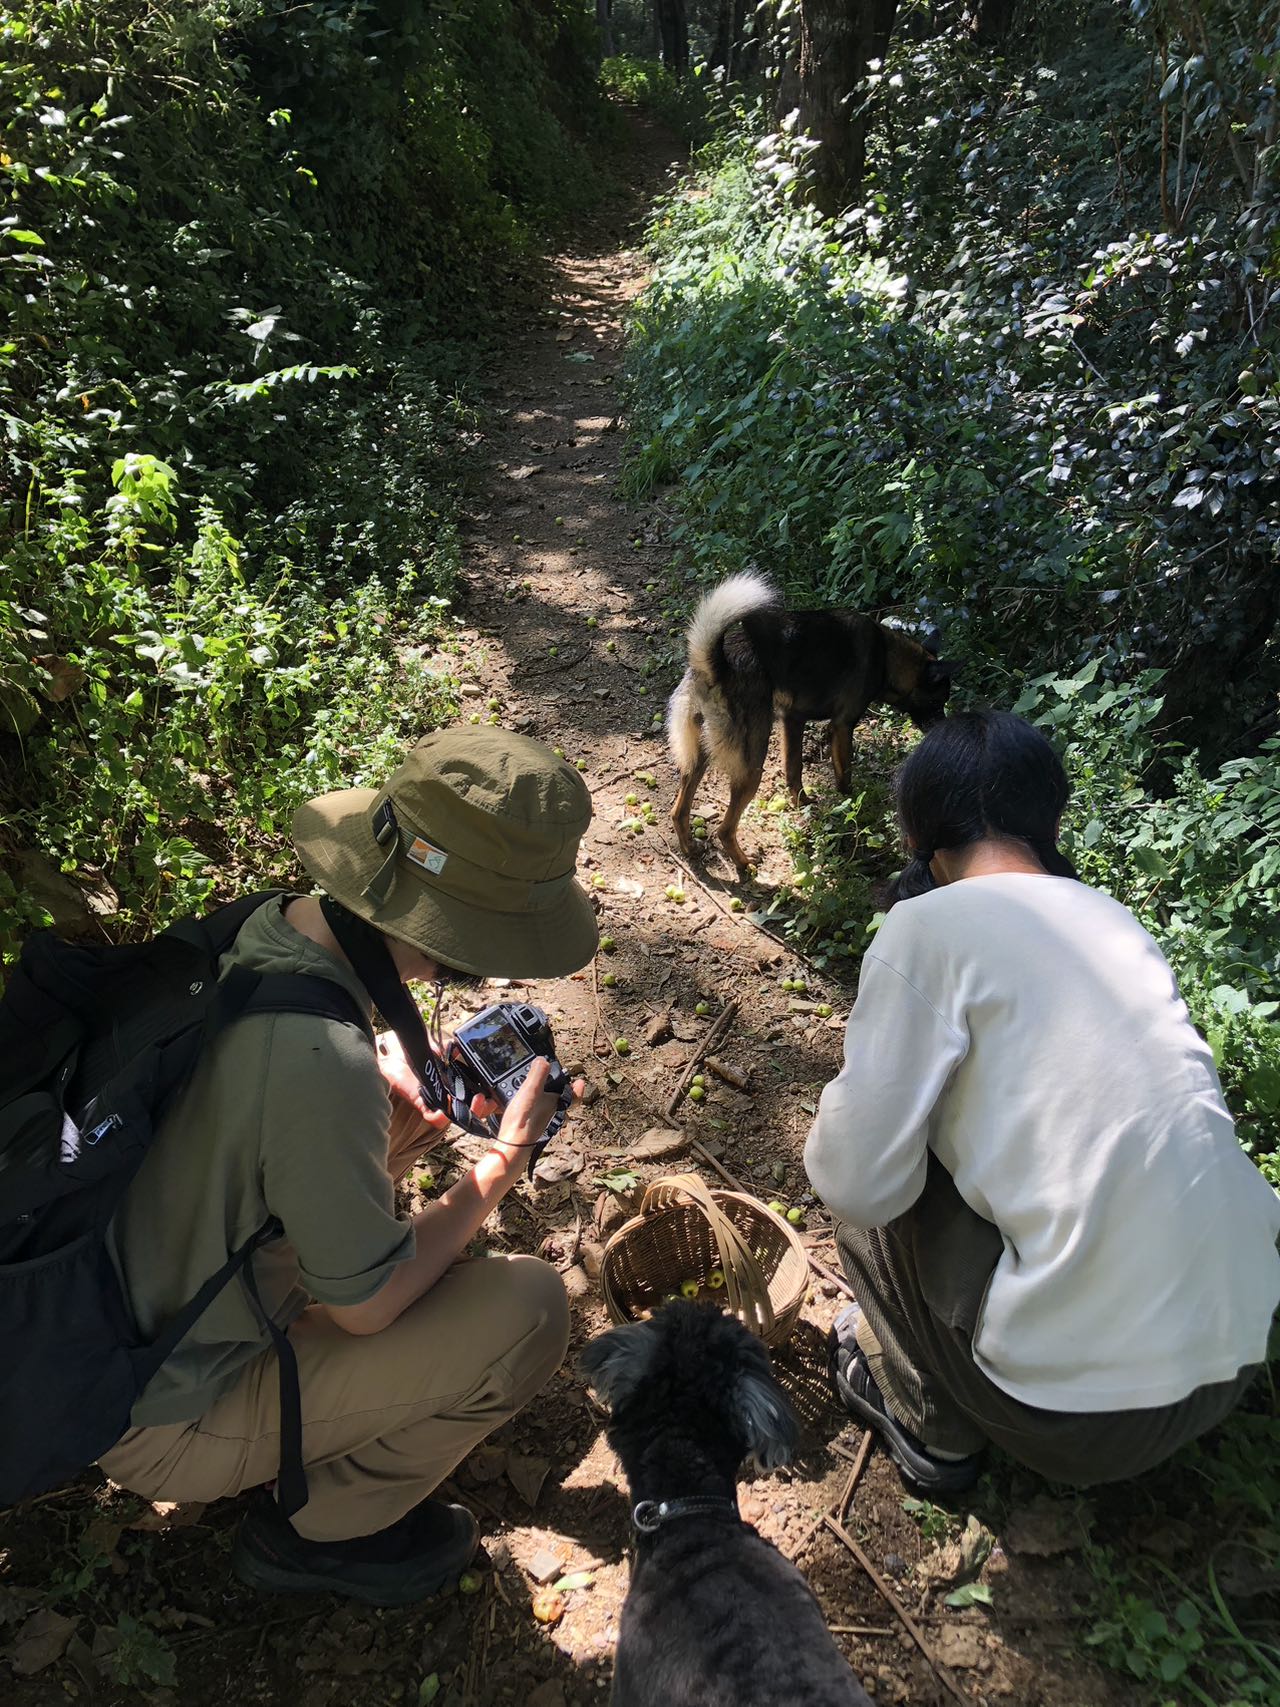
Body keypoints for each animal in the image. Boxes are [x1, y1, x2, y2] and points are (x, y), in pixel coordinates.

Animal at [672, 573, 955, 873]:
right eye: (938, 702)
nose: (942, 727)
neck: (887, 656)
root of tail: (714, 666)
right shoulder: (842, 726)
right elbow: (844, 776)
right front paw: (851, 805)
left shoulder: (793, 720)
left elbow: (793, 770)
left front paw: (803, 803)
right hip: (752, 764)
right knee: (724, 830)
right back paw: (745, 864)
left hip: (698, 759)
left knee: (678, 812)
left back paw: (690, 849)